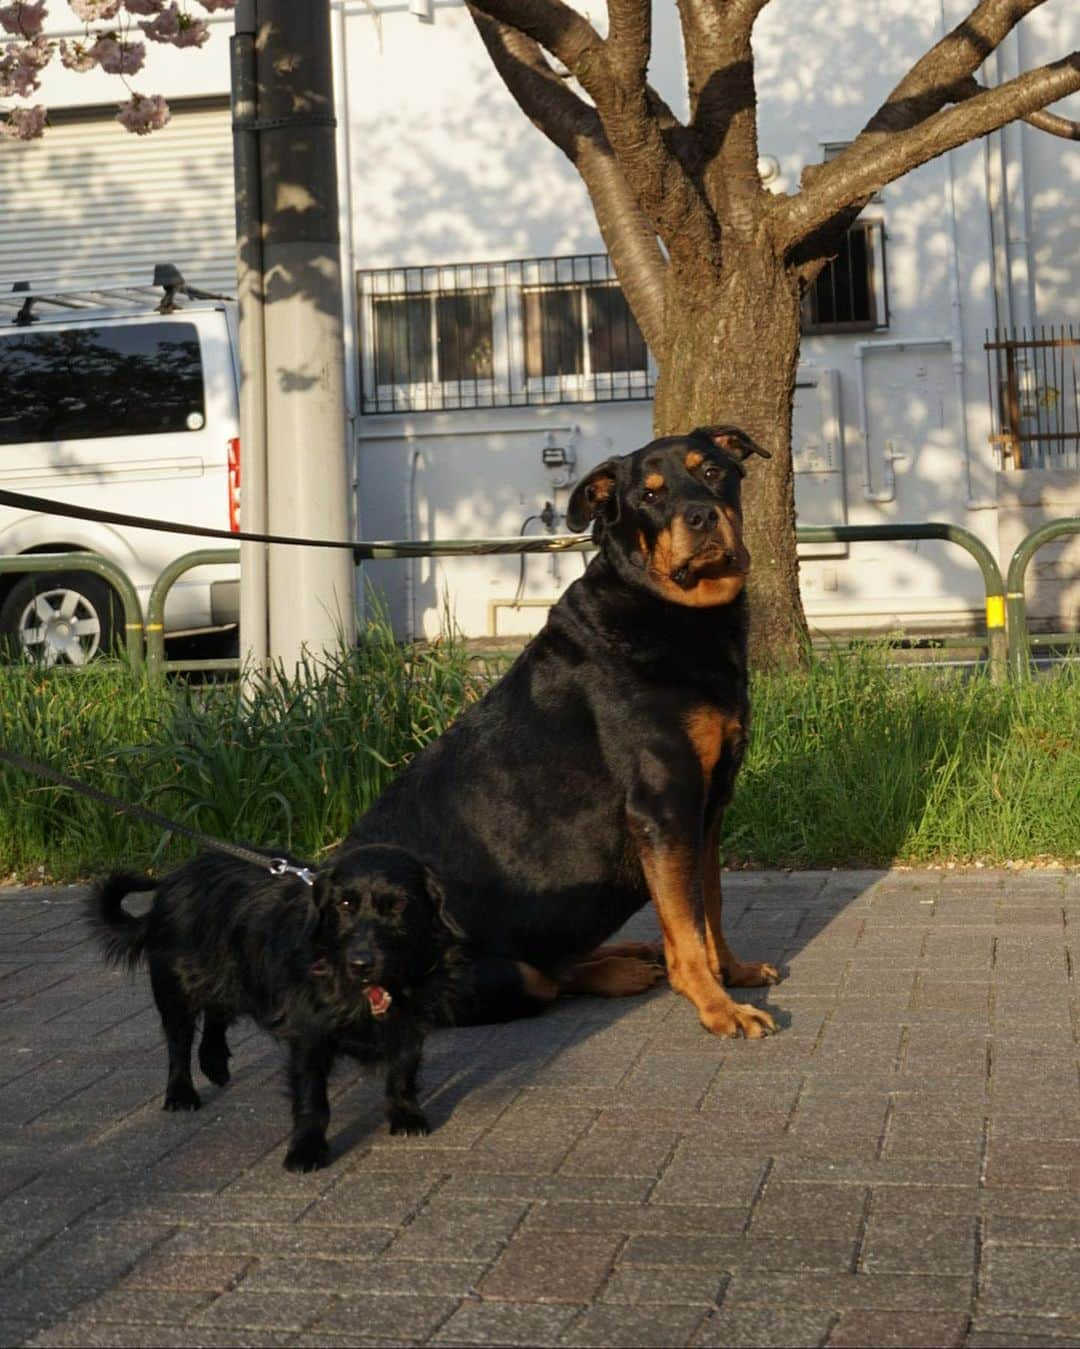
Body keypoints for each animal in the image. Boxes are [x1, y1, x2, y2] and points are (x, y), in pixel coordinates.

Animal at [84, 841, 455, 1170]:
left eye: (399, 905)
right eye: (345, 903)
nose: (361, 963)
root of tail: (173, 881)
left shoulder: (412, 1020)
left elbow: (403, 1070)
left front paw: (406, 1115)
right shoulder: (309, 1032)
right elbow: (312, 1099)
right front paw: (306, 1151)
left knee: (216, 1017)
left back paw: (214, 1063)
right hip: (176, 989)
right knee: (179, 1041)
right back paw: (180, 1093)